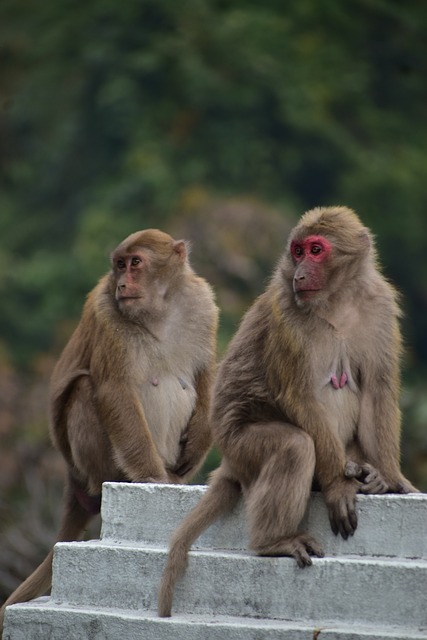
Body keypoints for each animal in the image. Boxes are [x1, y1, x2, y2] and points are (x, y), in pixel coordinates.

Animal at [0, 228, 219, 628]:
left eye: (136, 263)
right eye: (119, 265)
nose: (121, 283)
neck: (160, 310)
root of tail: (73, 478)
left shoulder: (203, 304)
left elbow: (206, 376)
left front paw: (194, 448)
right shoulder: (106, 313)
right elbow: (114, 389)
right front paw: (151, 477)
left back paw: (175, 474)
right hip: (89, 468)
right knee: (86, 390)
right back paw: (131, 476)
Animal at [159, 205, 420, 616]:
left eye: (316, 250)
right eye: (297, 251)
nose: (299, 273)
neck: (337, 300)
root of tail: (229, 462)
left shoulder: (379, 308)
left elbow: (378, 389)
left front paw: (393, 478)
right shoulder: (287, 316)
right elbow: (301, 396)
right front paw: (336, 486)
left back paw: (365, 471)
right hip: (241, 448)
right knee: (294, 446)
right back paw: (276, 539)